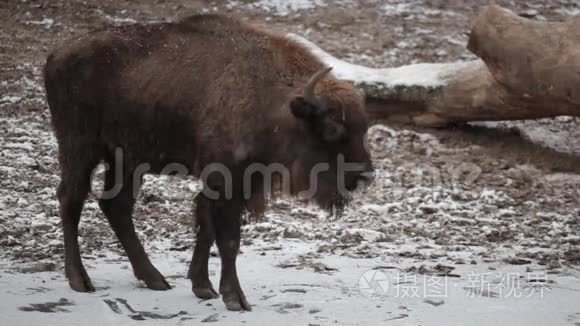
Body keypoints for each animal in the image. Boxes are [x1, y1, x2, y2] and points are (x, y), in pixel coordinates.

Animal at [43, 14, 374, 312]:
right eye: (332, 129)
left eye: (364, 128)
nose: (365, 176)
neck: (271, 100)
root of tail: (56, 55)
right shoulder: (225, 180)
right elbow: (228, 239)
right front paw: (235, 299)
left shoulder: (239, 182)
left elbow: (206, 227)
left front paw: (203, 287)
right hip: (80, 148)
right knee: (71, 200)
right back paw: (80, 280)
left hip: (126, 159)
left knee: (117, 207)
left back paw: (154, 279)